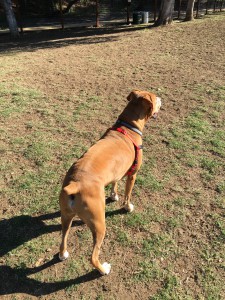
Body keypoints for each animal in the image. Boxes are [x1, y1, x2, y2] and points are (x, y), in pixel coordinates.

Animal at [59, 90, 161, 276]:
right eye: (155, 98)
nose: (161, 99)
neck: (128, 126)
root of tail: (75, 184)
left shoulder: (117, 173)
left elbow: (115, 183)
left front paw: (113, 196)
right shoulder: (132, 174)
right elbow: (128, 194)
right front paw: (127, 207)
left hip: (66, 216)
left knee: (63, 237)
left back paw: (63, 254)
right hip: (99, 224)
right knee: (93, 257)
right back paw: (103, 269)